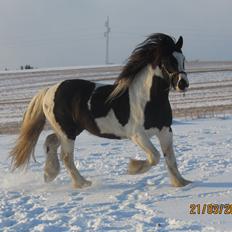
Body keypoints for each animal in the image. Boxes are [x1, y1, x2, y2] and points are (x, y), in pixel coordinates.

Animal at [10, 33, 191, 188]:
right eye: (168, 60)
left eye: (182, 59)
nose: (183, 84)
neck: (148, 100)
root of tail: (49, 90)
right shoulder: (137, 135)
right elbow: (155, 157)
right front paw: (133, 168)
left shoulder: (165, 131)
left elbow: (170, 159)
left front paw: (182, 183)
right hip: (67, 132)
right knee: (66, 157)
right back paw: (82, 183)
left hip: (71, 129)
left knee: (51, 141)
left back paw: (50, 174)